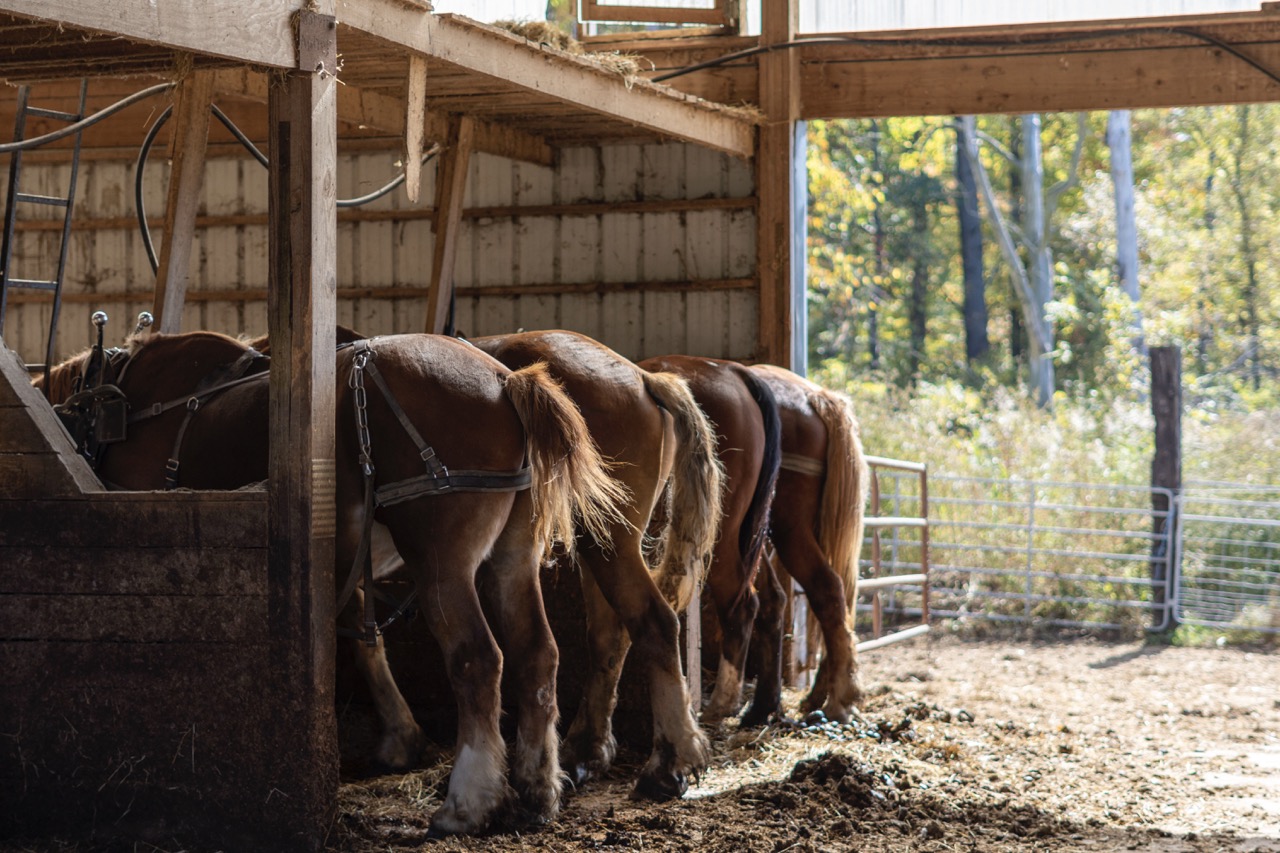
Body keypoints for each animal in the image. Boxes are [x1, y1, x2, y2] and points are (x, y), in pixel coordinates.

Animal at [46, 326, 629, 829]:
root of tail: (507, 384)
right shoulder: (348, 559)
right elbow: (365, 641)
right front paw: (401, 738)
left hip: (441, 561)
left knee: (477, 660)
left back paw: (468, 802)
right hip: (512, 557)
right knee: (538, 656)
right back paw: (538, 788)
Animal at [476, 330, 727, 799]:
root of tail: (644, 379)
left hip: (611, 539)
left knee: (653, 623)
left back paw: (667, 765)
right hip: (598, 539)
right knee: (610, 636)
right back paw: (585, 751)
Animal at [637, 353, 783, 722]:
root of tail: (734, 371)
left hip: (722, 533)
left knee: (742, 604)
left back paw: (721, 703)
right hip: (750, 534)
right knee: (771, 599)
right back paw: (761, 706)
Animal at [747, 361, 870, 722]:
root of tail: (816, 397)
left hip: (788, 527)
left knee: (826, 588)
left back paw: (837, 700)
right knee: (839, 596)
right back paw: (818, 694)